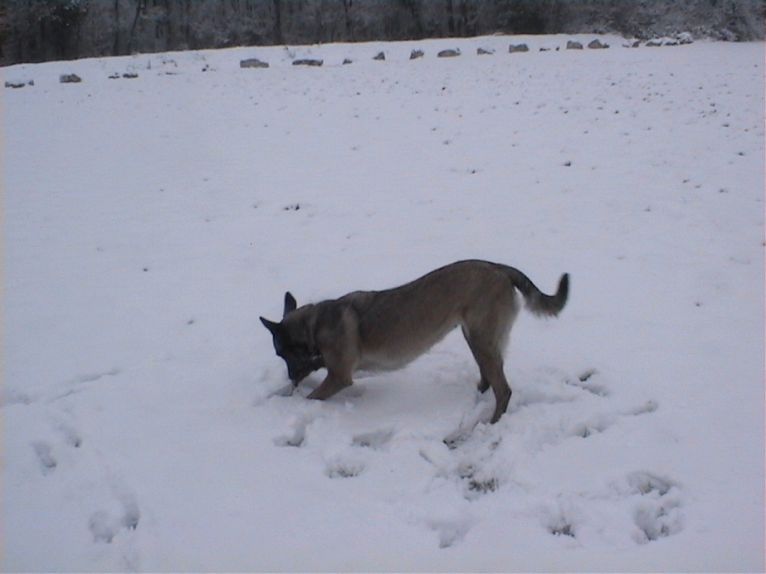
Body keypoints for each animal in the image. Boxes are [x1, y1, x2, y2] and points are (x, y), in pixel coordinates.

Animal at [260, 260, 568, 424]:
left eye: (281, 354)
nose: (291, 377)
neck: (314, 325)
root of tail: (498, 267)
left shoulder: (338, 376)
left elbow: (312, 396)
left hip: (481, 338)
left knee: (503, 390)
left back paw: (491, 424)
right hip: (475, 337)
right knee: (489, 377)